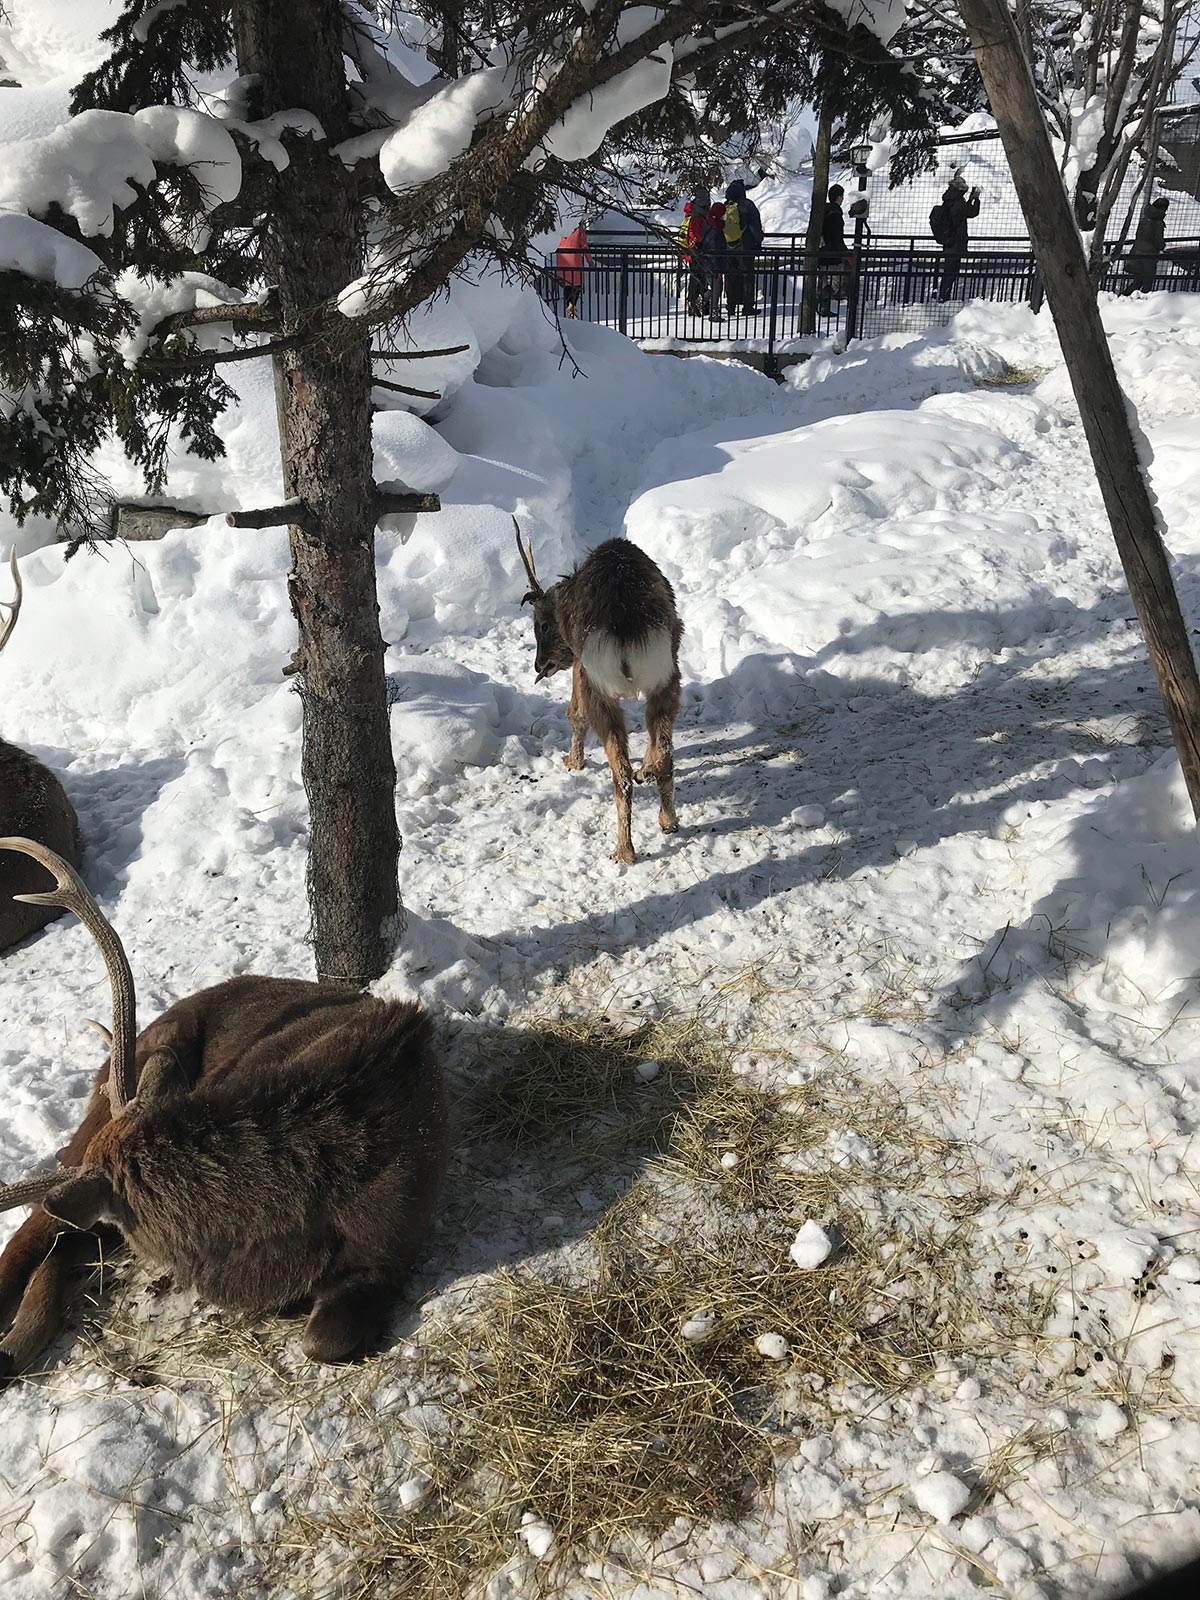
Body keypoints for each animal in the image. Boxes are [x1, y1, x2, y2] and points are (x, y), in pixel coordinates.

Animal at [518, 524, 684, 864]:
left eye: (542, 625)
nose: (539, 664)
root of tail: (627, 626)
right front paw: (645, 771)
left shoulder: (580, 667)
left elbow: (574, 713)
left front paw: (573, 761)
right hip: (667, 672)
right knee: (664, 749)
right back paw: (667, 818)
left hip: (597, 683)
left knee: (620, 768)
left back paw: (624, 850)